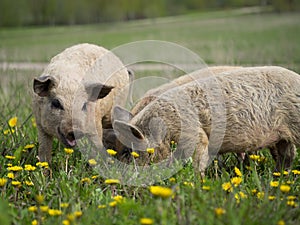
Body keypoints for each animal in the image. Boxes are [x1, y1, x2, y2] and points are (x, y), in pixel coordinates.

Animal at [113, 66, 300, 175]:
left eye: (127, 151)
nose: (121, 174)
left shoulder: (194, 135)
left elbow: (197, 161)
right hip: (281, 137)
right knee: (287, 154)